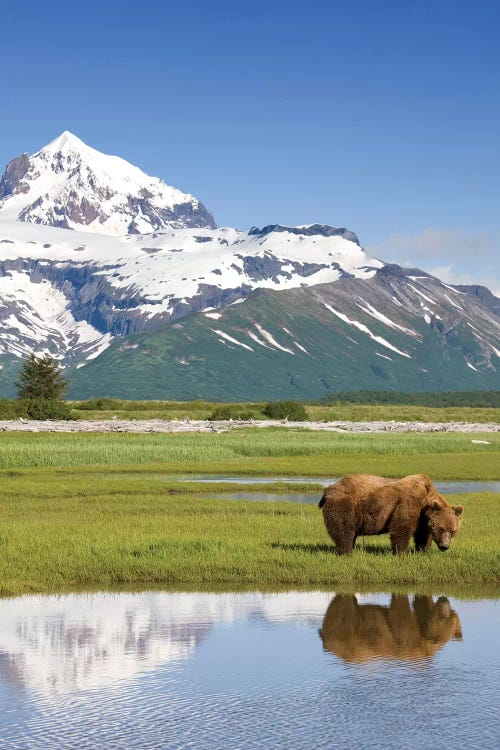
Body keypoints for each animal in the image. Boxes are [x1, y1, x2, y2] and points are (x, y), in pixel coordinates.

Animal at [318, 478, 462, 556]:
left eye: (453, 530)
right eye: (441, 528)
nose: (445, 546)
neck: (425, 501)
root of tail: (328, 490)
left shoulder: (422, 519)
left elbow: (423, 535)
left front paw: (423, 550)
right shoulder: (408, 503)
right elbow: (401, 527)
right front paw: (402, 553)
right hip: (346, 505)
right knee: (344, 530)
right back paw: (347, 551)